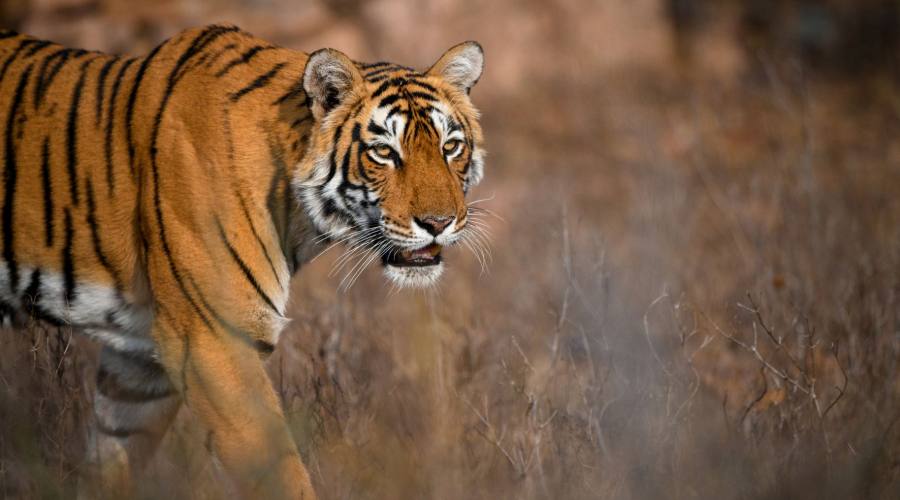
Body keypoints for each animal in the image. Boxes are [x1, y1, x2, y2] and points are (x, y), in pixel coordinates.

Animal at [0, 24, 486, 500]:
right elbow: (279, 472)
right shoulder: (213, 338)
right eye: (384, 152)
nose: (439, 223)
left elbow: (111, 458)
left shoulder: (137, 360)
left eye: (450, 146)